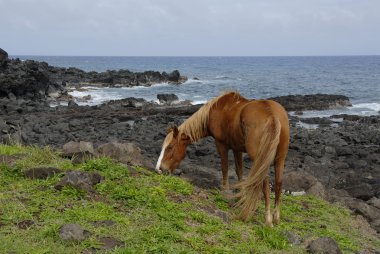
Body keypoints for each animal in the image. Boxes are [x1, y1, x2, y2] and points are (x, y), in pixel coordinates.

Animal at [156, 92, 290, 226]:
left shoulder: (221, 145)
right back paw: (276, 217)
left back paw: (268, 219)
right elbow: (239, 171)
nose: (159, 169)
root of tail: (272, 115)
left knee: (264, 184)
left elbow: (224, 168)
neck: (217, 109)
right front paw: (240, 195)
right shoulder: (237, 149)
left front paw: (225, 191)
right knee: (278, 182)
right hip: (280, 158)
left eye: (170, 147)